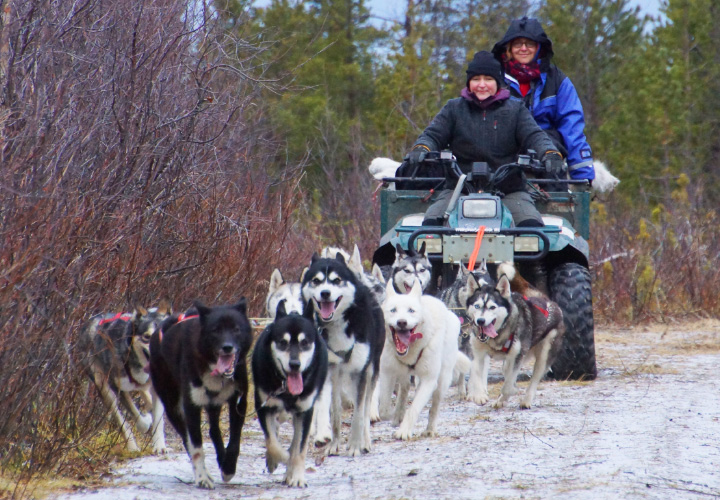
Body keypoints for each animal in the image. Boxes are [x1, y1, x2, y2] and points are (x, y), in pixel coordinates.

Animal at [149, 300, 253, 488]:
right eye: (215, 330)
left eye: (236, 328)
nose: (227, 347)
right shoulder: (192, 406)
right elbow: (196, 446)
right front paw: (203, 477)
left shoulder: (239, 402)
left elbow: (234, 440)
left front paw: (228, 467)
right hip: (173, 406)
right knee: (187, 439)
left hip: (214, 404)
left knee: (213, 430)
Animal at [252, 298, 328, 486]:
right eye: (282, 342)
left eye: (305, 343)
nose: (295, 365)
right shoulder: (264, 407)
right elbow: (272, 442)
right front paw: (279, 458)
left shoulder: (305, 411)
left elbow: (300, 448)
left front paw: (297, 476)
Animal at [300, 254, 386, 458]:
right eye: (316, 281)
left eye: (336, 280)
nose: (325, 293)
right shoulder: (333, 373)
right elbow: (336, 412)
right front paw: (334, 444)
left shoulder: (362, 372)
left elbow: (359, 413)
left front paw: (355, 445)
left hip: (371, 370)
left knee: (366, 407)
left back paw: (365, 440)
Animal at [372, 280, 462, 440]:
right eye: (393, 310)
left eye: (411, 310)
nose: (402, 322)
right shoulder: (387, 373)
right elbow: (384, 410)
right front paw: (395, 415)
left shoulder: (428, 380)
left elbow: (413, 409)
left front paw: (404, 431)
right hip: (402, 373)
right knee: (405, 387)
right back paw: (399, 413)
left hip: (443, 380)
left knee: (434, 406)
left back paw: (430, 429)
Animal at [464, 274, 564, 410]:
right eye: (477, 306)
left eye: (492, 307)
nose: (480, 321)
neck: (497, 336)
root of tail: (547, 300)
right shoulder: (478, 353)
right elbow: (476, 374)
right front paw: (479, 395)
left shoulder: (517, 356)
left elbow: (508, 387)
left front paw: (512, 391)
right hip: (508, 363)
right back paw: (501, 400)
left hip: (543, 356)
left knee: (534, 380)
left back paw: (525, 400)